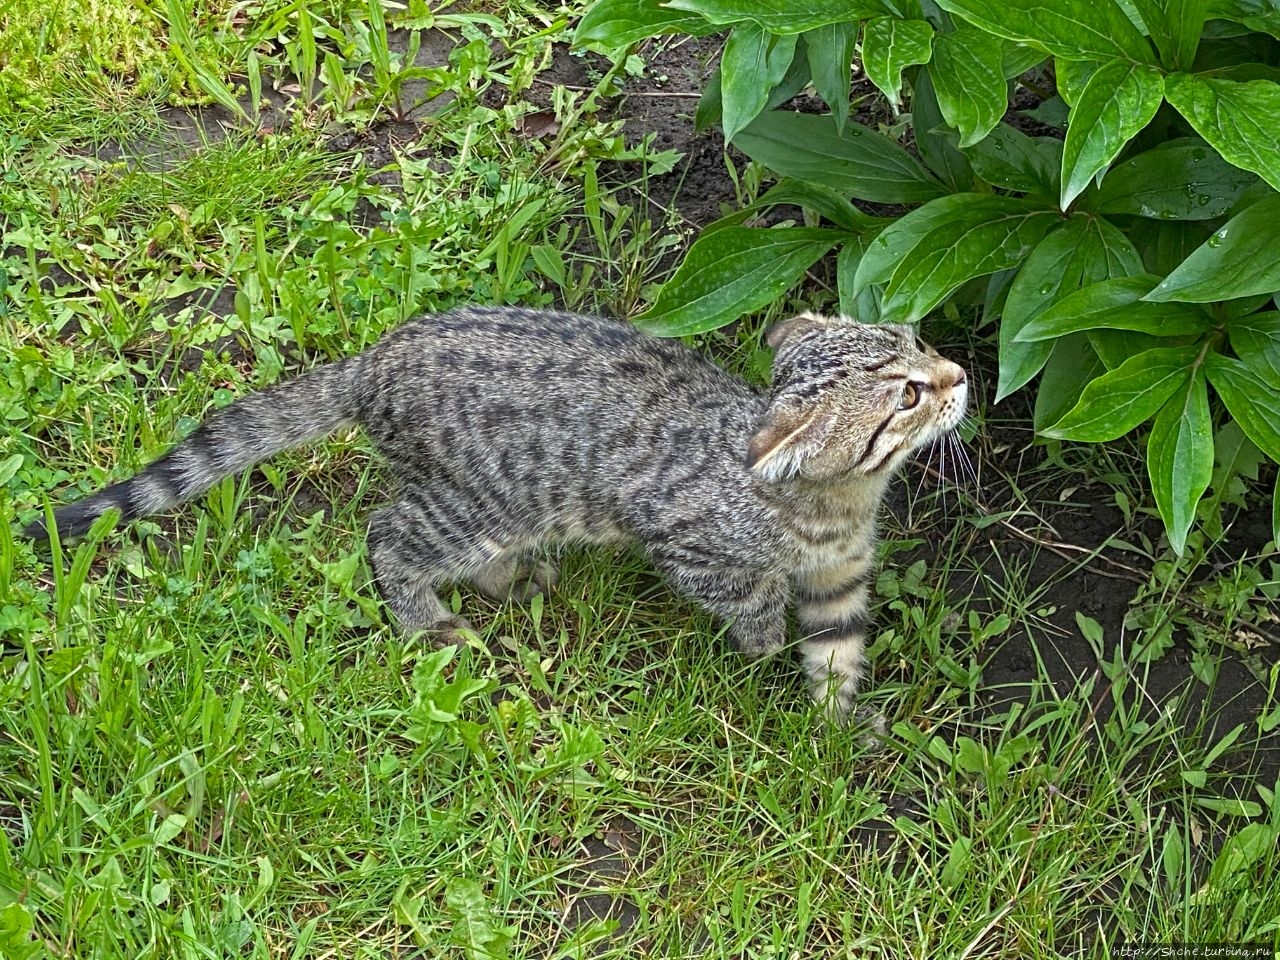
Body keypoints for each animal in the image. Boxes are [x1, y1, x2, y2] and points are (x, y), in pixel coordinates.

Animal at [24, 308, 962, 721]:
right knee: (388, 535)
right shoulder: (686, 539)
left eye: (918, 343)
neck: (836, 506)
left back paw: (516, 580)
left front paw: (839, 727)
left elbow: (837, 649)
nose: (959, 375)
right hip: (474, 503)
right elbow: (751, 601)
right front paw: (764, 640)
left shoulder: (842, 579)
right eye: (907, 396)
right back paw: (430, 618)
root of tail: (373, 361)